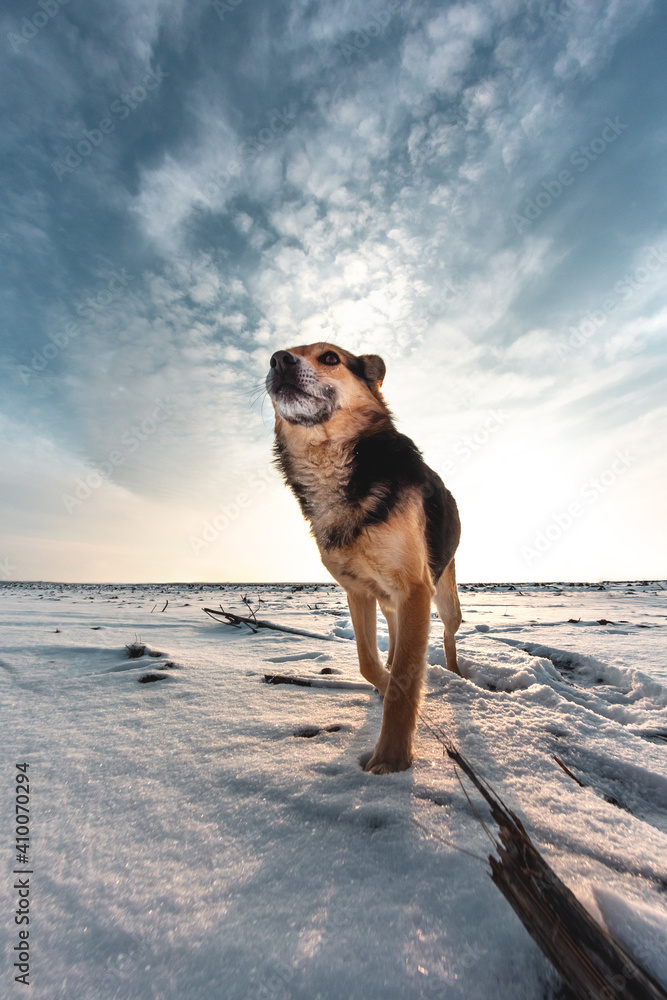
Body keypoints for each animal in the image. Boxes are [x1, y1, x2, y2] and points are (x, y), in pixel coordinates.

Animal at [264, 344, 462, 772]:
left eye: (330, 358)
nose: (279, 359)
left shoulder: (416, 588)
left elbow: (406, 679)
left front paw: (391, 759)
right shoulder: (358, 591)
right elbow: (367, 662)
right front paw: (384, 683)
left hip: (443, 595)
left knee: (448, 631)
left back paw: (457, 672)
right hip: (389, 600)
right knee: (396, 634)